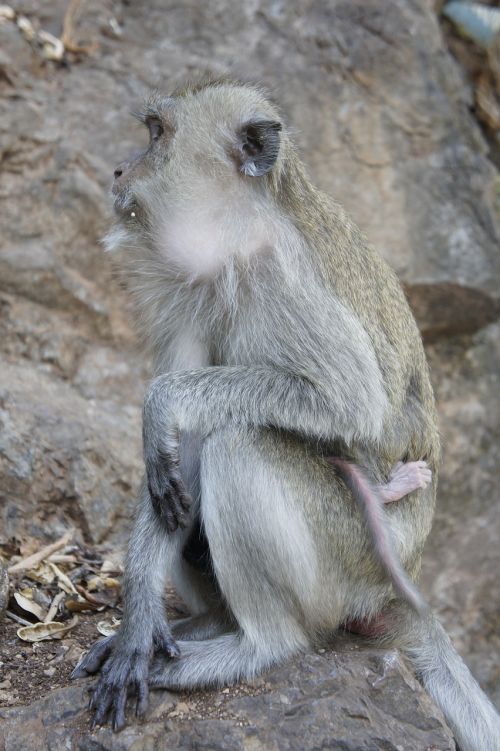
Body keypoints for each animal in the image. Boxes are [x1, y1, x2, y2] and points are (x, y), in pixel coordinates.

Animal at [71, 79, 500, 748]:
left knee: (240, 446)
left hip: (352, 562)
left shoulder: (286, 278)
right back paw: (202, 624)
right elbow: (172, 458)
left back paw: (256, 647)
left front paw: (163, 400)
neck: (242, 233)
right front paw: (138, 621)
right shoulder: (192, 289)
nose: (119, 168)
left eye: (156, 135)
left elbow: (349, 402)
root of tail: (400, 588)